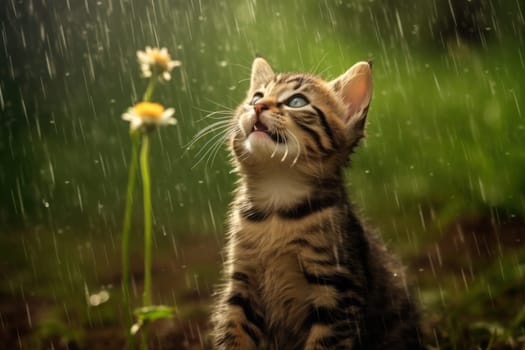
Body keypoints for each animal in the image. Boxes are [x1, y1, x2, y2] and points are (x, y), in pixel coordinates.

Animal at [211, 56, 420, 348]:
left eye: (297, 101)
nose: (257, 106)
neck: (277, 206)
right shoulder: (240, 285)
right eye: (256, 96)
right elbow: (233, 335)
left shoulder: (338, 292)